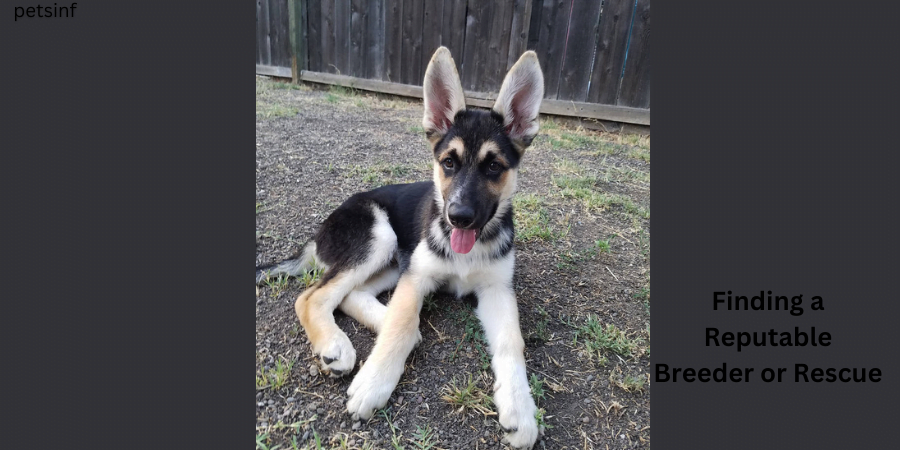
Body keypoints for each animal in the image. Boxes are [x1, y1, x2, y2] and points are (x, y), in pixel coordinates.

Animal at [256, 47, 544, 448]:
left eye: (493, 167)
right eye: (449, 162)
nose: (459, 217)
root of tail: (318, 233)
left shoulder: (497, 289)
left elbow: (510, 341)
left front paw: (519, 406)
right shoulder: (417, 275)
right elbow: (402, 323)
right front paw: (374, 383)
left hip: (394, 260)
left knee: (350, 295)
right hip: (380, 238)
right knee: (312, 296)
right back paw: (336, 344)